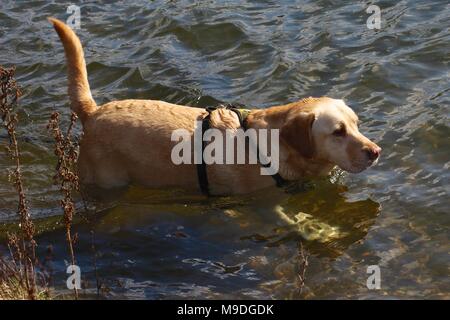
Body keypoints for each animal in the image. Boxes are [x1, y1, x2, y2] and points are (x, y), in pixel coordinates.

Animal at [48, 19, 380, 198]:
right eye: (338, 132)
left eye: (357, 124)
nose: (376, 152)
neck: (272, 146)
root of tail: (93, 112)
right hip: (107, 180)